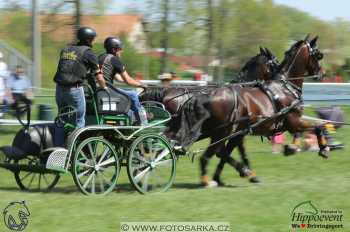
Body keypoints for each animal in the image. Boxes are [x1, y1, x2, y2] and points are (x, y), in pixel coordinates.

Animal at [165, 35, 326, 186]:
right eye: (318, 55)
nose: (322, 73)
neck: (285, 87)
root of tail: (203, 97)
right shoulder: (292, 121)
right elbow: (318, 126)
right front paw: (319, 148)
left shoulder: (241, 133)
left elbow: (232, 154)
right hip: (220, 133)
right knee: (206, 156)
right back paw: (206, 181)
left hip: (212, 132)